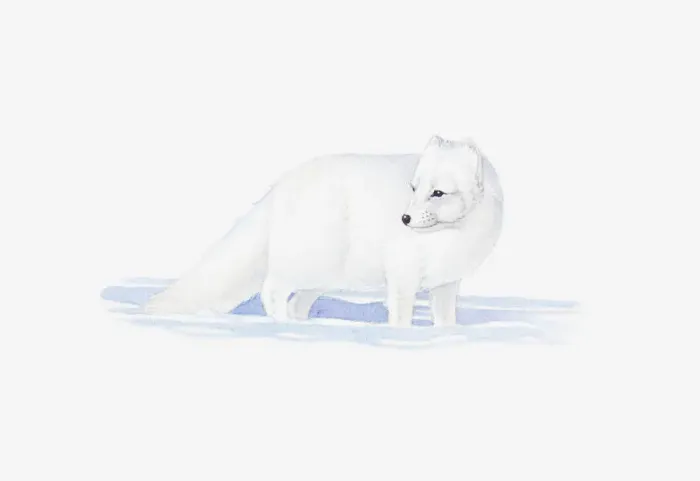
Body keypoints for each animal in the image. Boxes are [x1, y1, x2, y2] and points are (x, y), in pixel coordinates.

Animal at [146, 135, 503, 327]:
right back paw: (284, 326)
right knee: (272, 290)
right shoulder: (402, 277)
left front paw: (445, 334)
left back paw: (304, 325)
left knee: (296, 302)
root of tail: (282, 185)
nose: (404, 218)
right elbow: (401, 315)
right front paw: (401, 335)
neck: (452, 236)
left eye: (438, 193)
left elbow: (446, 319)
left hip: (323, 274)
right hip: (308, 262)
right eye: (414, 188)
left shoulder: (446, 283)